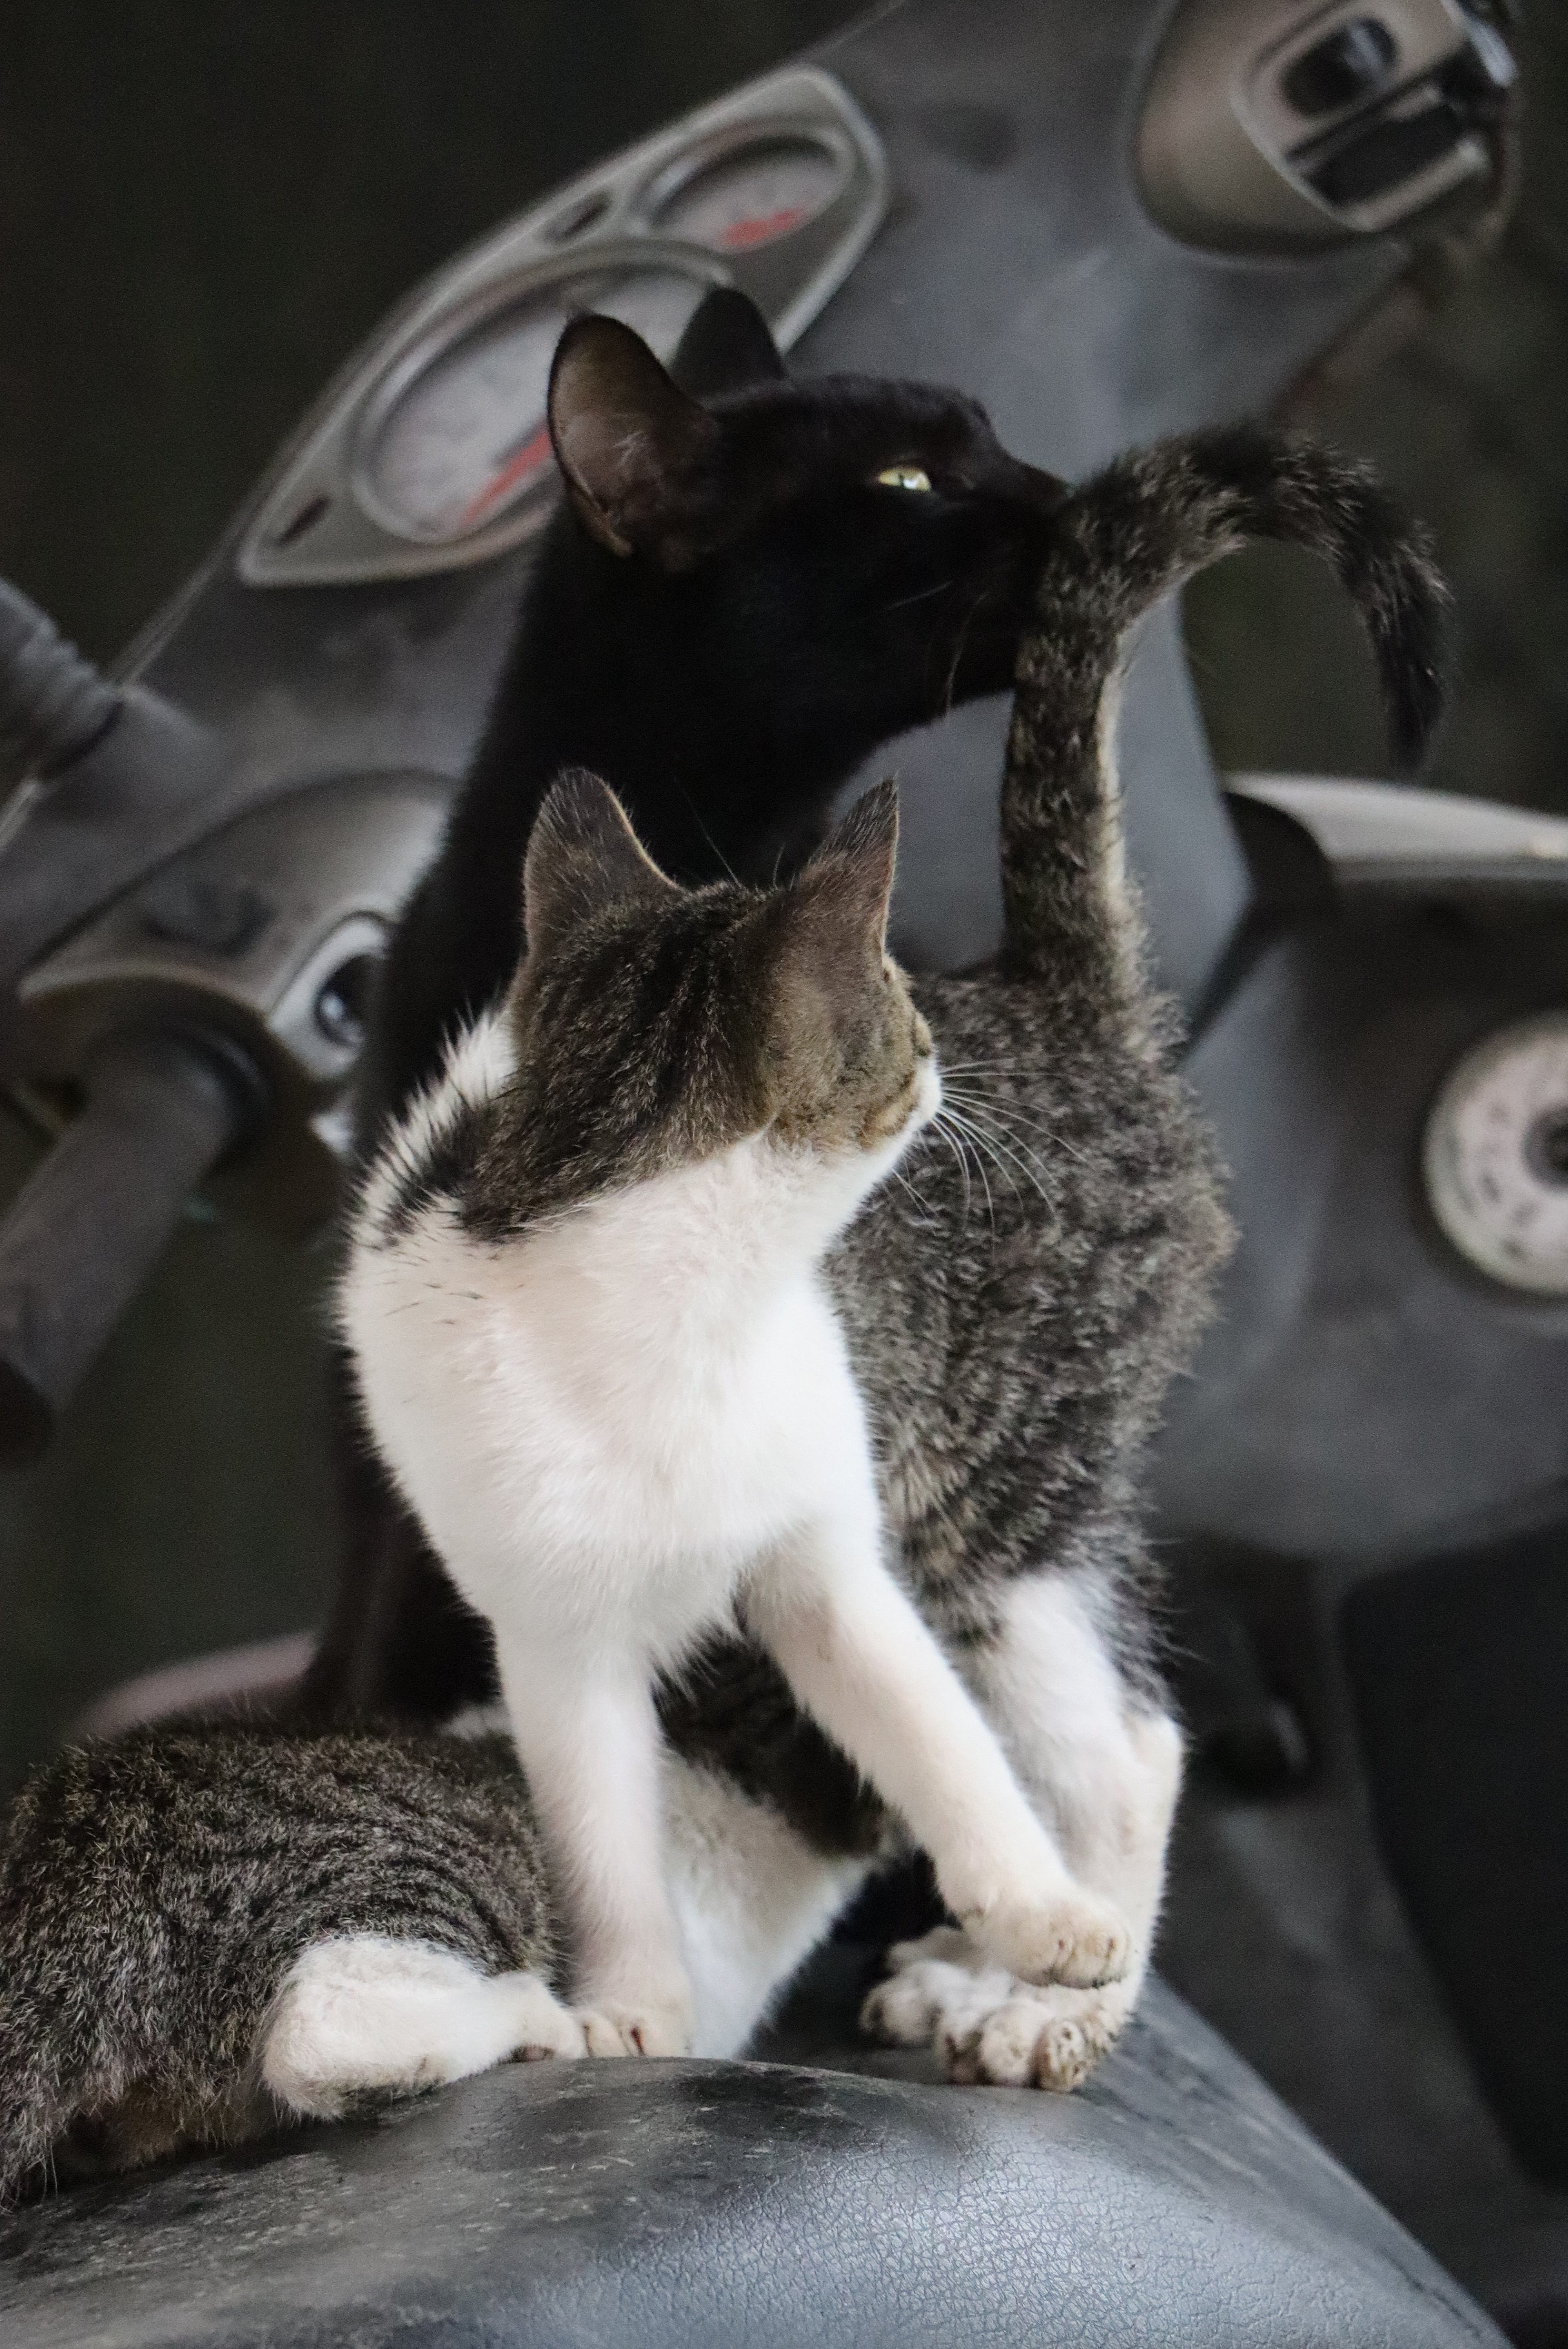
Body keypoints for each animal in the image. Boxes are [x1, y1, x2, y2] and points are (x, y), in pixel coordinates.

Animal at [338, 772, 1138, 2059]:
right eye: (900, 1010)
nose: (942, 1056)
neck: (678, 1328)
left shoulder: (825, 1555)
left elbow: (935, 1733)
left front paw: (1042, 1914)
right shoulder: (554, 1631)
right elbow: (601, 1832)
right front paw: (634, 2010)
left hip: (1011, 1487)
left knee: (1127, 1746)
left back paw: (1039, 1995)